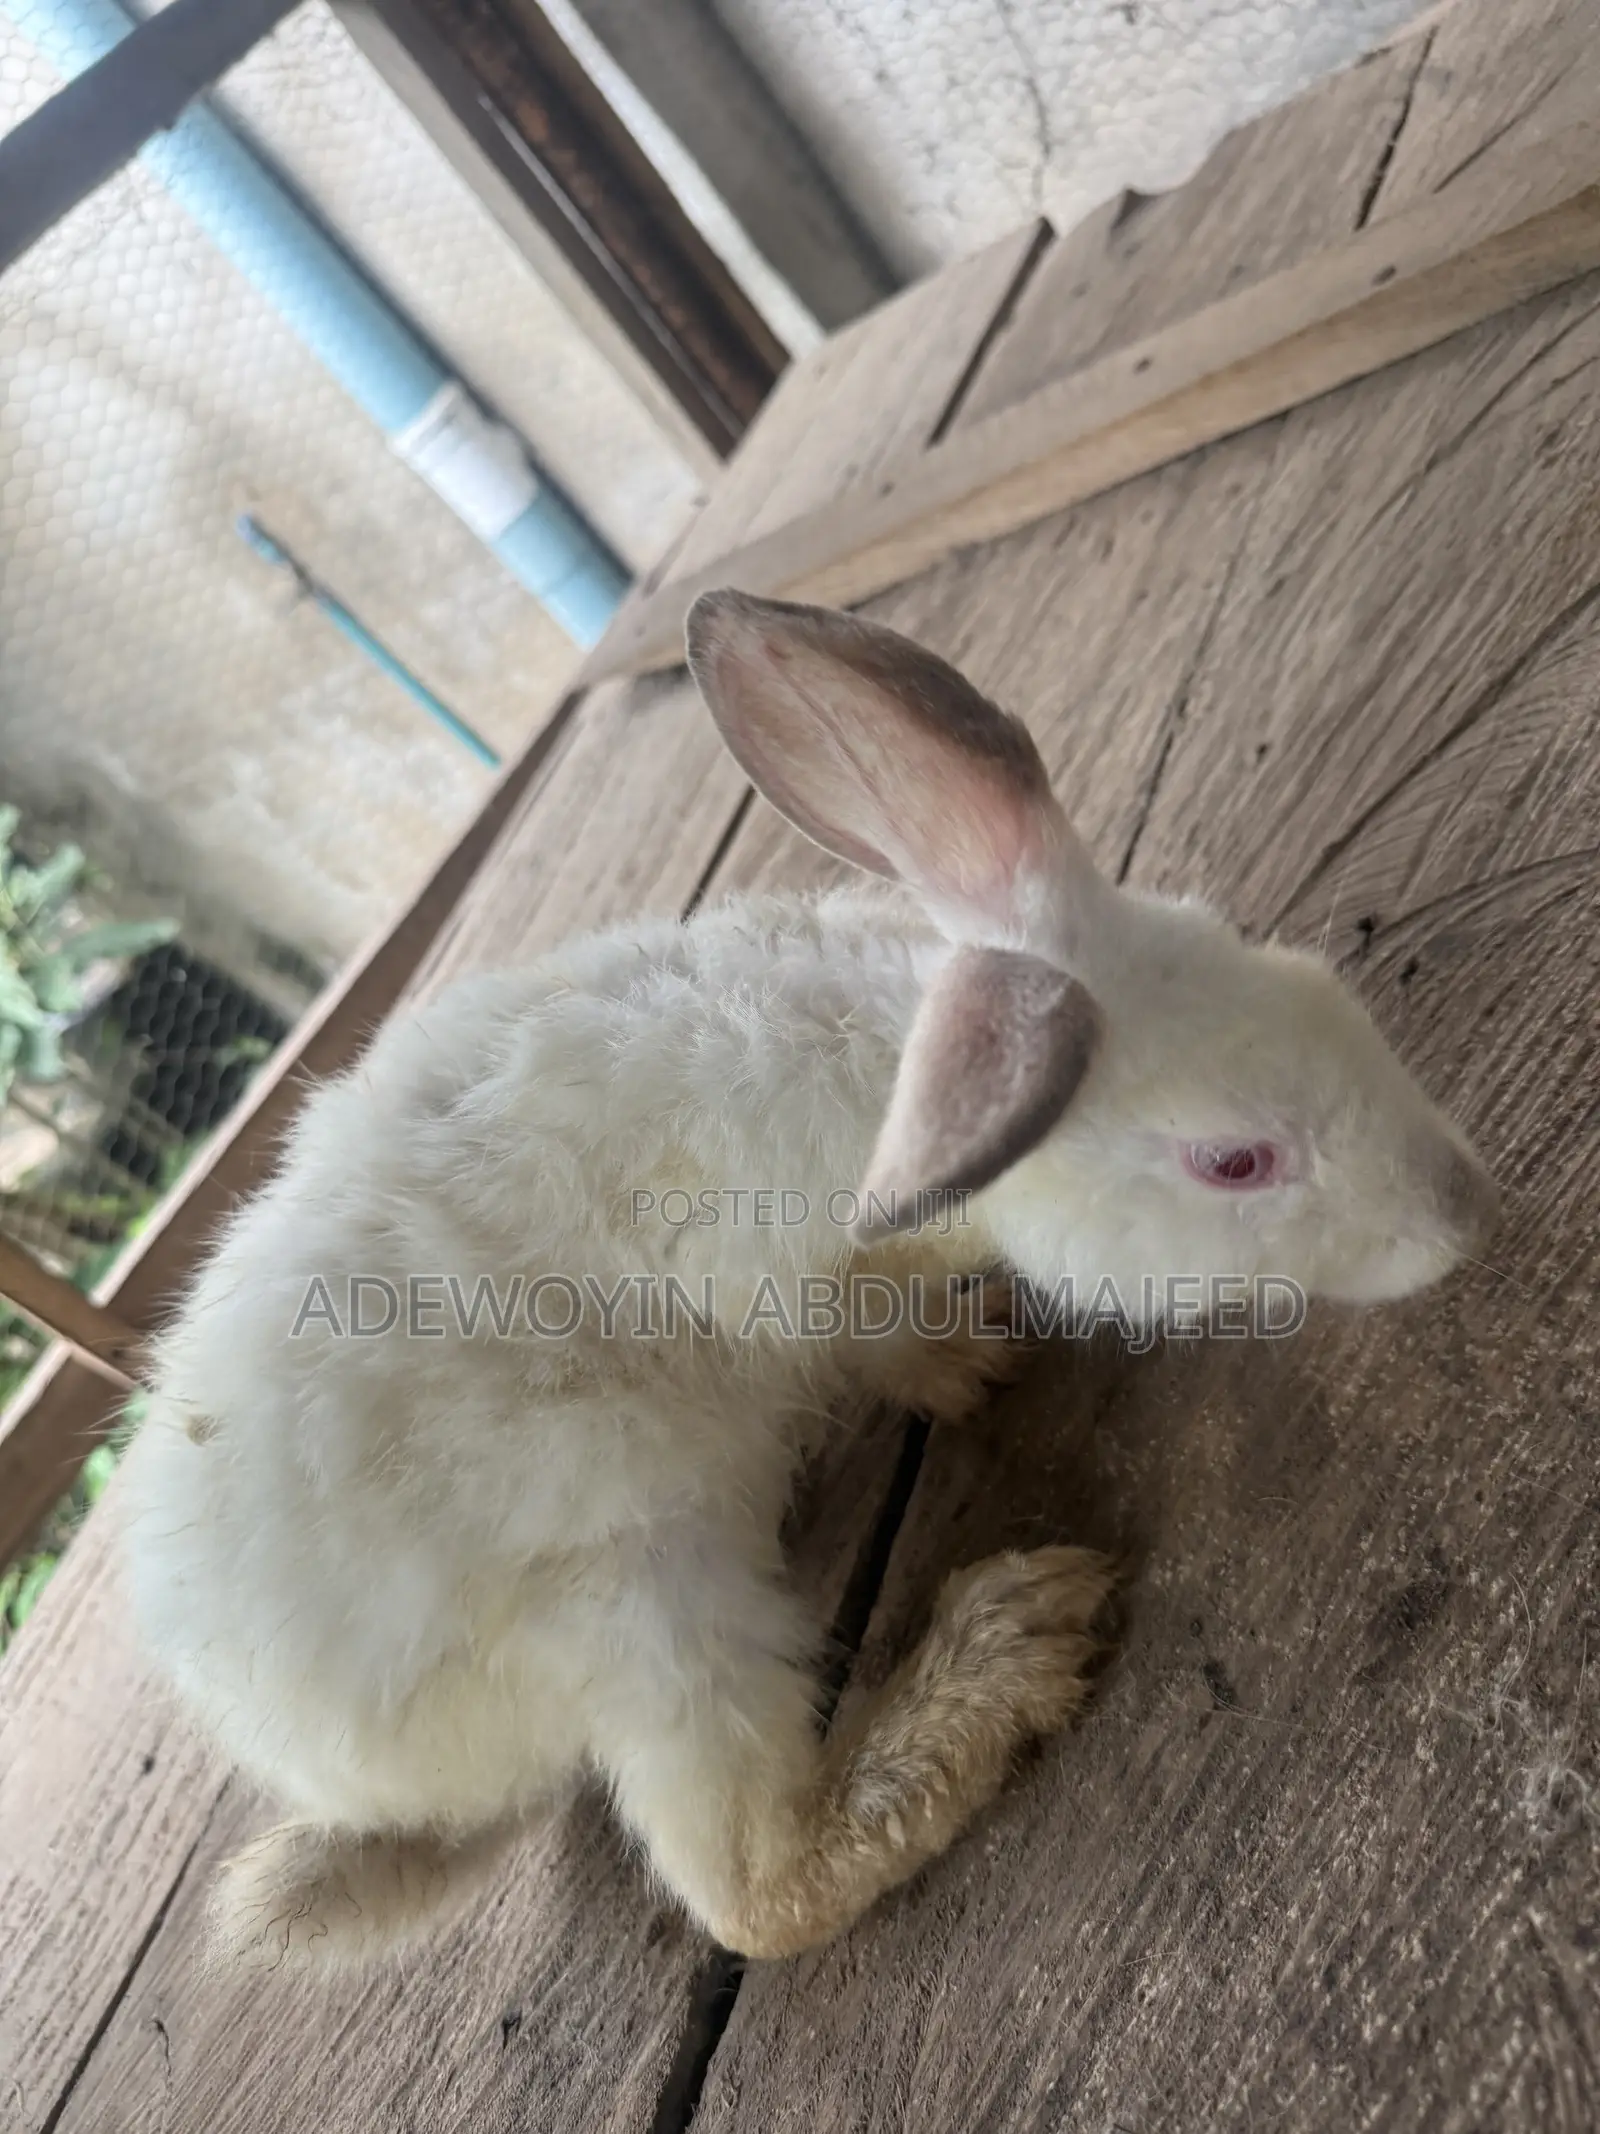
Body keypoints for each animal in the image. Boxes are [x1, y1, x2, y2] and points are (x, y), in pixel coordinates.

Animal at [120, 590, 1498, 1969]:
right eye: (1234, 1160)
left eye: (1308, 979)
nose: (1462, 1210)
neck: (893, 1074)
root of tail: (354, 1786)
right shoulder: (778, 1281)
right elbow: (857, 1325)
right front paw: (968, 1365)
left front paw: (974, 1354)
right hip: (643, 1607)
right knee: (755, 1887)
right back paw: (1007, 1644)